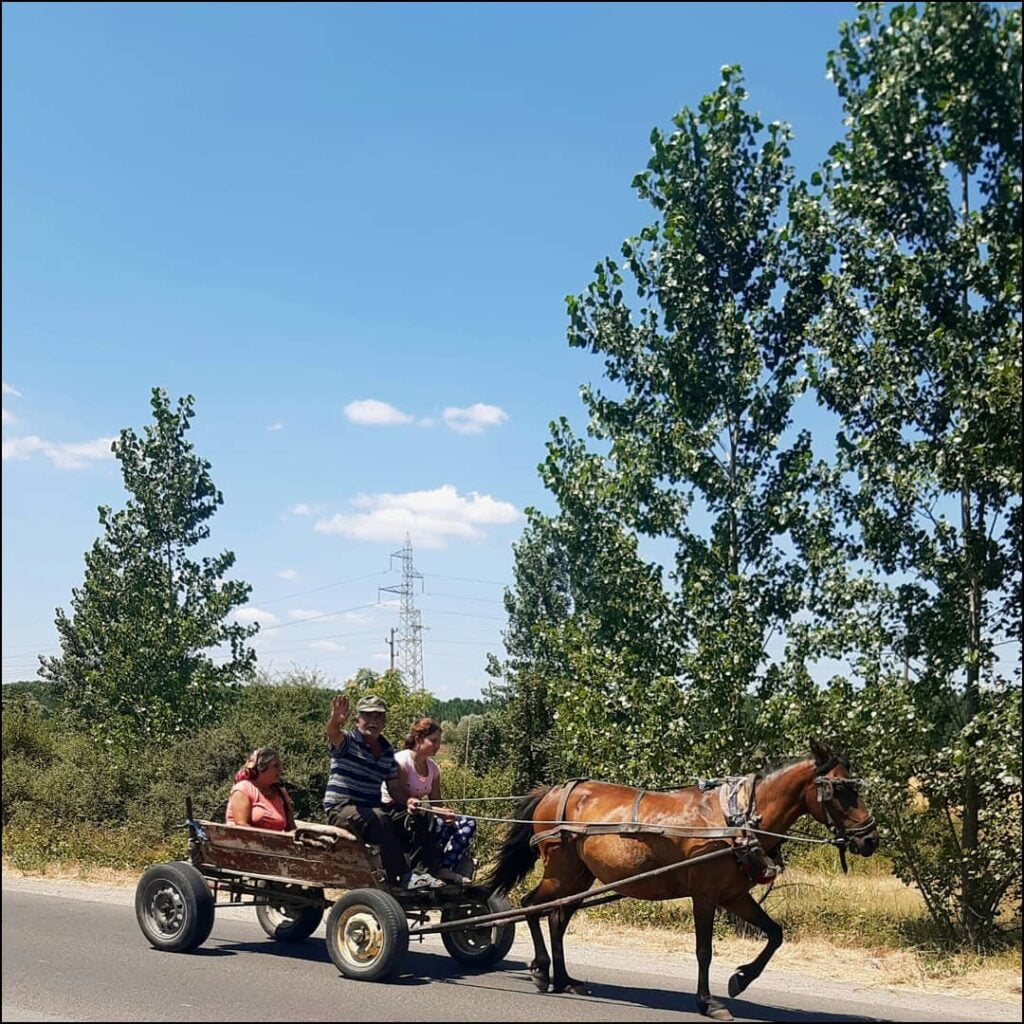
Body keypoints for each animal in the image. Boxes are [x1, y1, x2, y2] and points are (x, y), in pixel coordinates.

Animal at [487, 741, 880, 1019]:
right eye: (840, 790)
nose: (870, 839)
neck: (737, 821)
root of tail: (552, 791)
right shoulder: (704, 895)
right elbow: (704, 950)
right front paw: (709, 1002)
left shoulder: (734, 896)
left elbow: (775, 934)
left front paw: (740, 980)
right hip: (561, 872)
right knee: (530, 906)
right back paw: (542, 972)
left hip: (579, 878)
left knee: (556, 918)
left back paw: (566, 980)